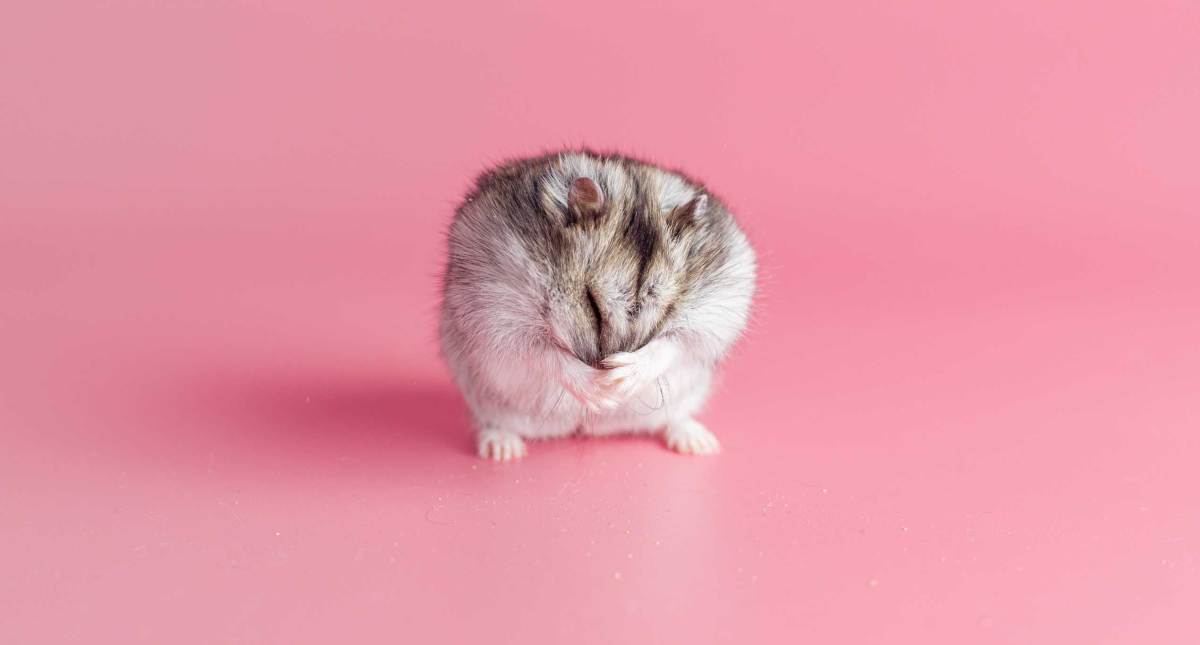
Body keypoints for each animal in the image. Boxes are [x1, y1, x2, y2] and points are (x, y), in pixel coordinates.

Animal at [441, 148, 758, 460]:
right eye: (590, 303)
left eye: (667, 310)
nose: (609, 388)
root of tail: (587, 428)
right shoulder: (498, 314)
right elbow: (544, 353)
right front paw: (600, 390)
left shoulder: (717, 312)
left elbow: (674, 343)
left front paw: (619, 379)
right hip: (489, 401)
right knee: (493, 423)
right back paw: (503, 449)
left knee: (674, 418)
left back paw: (699, 443)